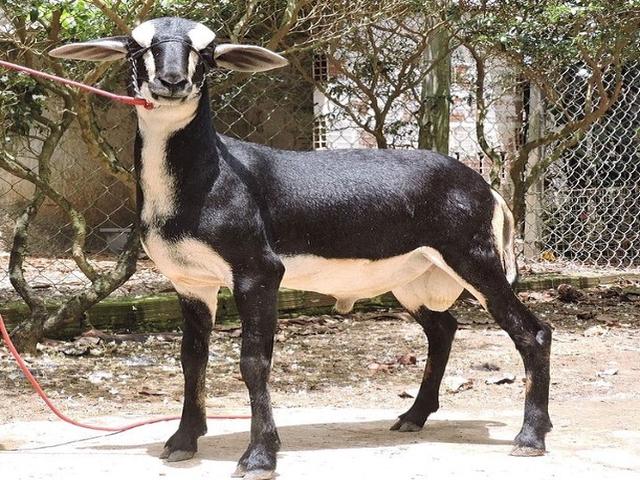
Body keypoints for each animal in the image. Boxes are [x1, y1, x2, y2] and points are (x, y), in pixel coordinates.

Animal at [50, 16, 552, 480]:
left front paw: (259, 457)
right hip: (410, 279)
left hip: (475, 261)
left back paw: (530, 436)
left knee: (532, 331)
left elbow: (254, 361)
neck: (206, 179)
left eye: (207, 53)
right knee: (443, 329)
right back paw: (413, 416)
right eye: (137, 47)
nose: (172, 80)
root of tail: (484, 187)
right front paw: (182, 441)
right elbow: (192, 358)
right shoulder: (190, 282)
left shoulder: (258, 274)